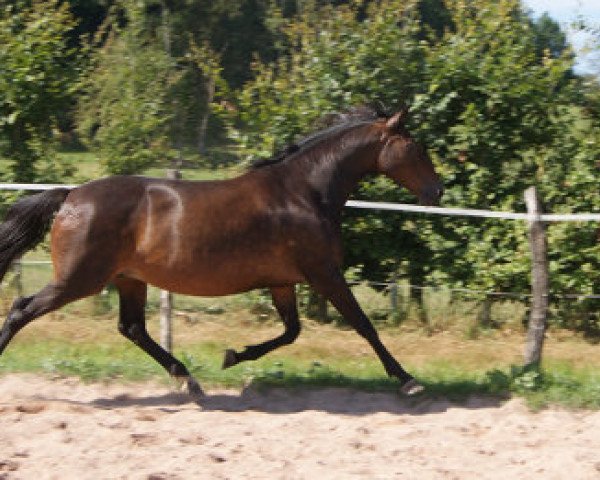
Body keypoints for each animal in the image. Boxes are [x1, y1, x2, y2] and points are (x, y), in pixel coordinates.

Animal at [0, 106, 440, 398]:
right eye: (416, 148)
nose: (437, 191)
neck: (305, 192)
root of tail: (71, 195)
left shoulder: (284, 282)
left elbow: (291, 332)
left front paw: (232, 356)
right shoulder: (324, 273)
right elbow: (364, 325)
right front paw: (408, 380)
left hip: (128, 279)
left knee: (133, 328)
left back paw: (188, 379)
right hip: (80, 279)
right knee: (22, 308)